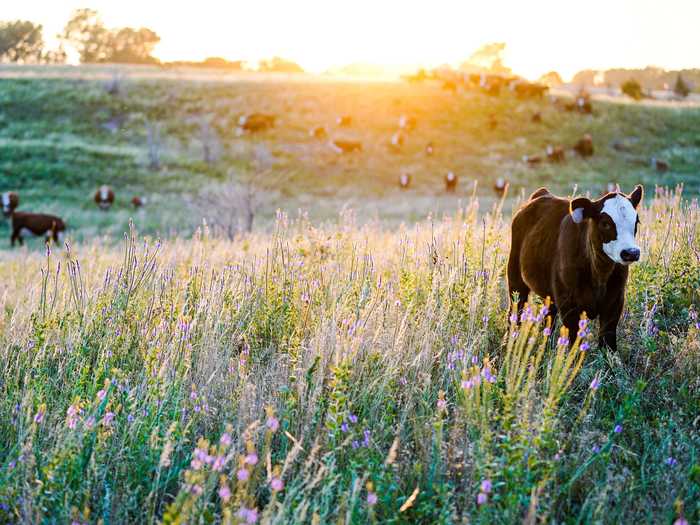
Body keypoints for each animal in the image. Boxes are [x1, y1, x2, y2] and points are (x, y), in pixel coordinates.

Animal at [506, 186, 644, 350]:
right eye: (605, 223)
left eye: (636, 221)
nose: (631, 252)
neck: (599, 273)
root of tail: (543, 193)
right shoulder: (569, 305)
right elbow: (573, 340)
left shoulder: (615, 302)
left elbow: (607, 341)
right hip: (515, 279)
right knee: (515, 310)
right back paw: (509, 341)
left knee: (549, 316)